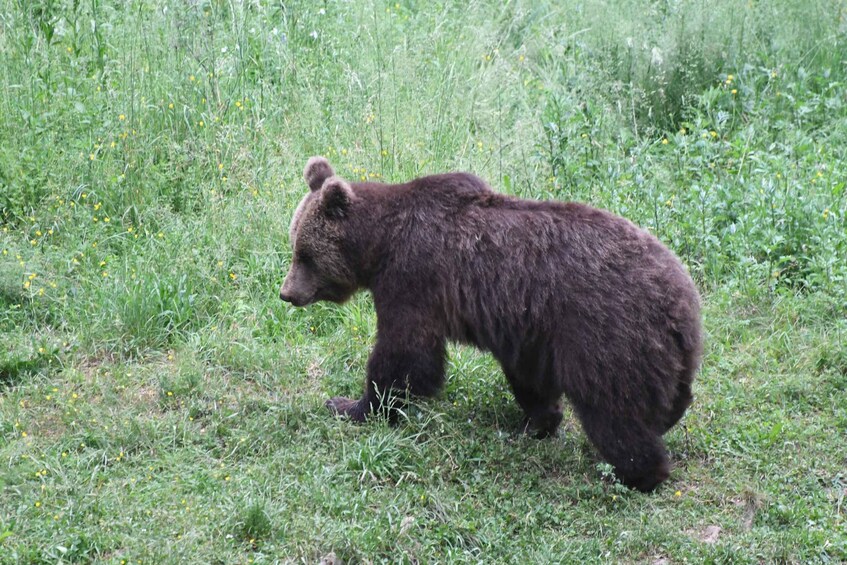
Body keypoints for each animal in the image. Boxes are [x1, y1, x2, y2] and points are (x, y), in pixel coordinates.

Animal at [282, 156, 704, 492]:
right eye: (295, 245)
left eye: (305, 254)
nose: (287, 293)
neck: (380, 244)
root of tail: (682, 295)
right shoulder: (529, 326)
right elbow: (529, 376)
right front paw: (537, 422)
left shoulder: (414, 280)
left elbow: (405, 354)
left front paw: (351, 405)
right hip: (664, 347)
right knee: (669, 395)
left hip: (605, 331)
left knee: (612, 408)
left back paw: (638, 474)